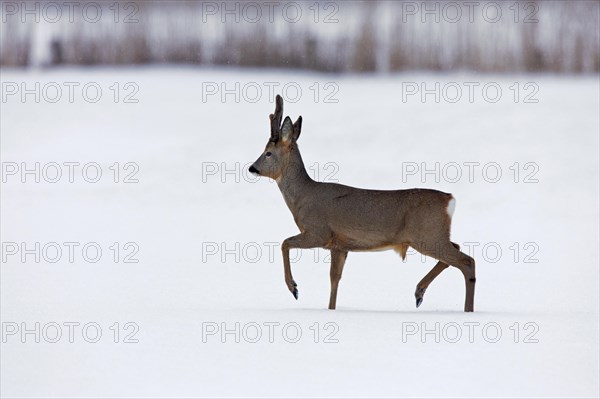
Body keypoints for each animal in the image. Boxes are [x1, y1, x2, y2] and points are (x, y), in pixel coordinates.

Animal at [248, 94, 478, 312]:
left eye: (268, 153)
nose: (252, 168)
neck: (302, 197)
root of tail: (449, 199)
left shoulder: (319, 232)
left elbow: (284, 243)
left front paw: (294, 288)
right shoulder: (340, 245)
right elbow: (334, 279)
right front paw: (330, 309)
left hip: (427, 236)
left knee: (467, 261)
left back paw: (463, 308)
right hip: (433, 235)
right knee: (457, 250)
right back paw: (419, 293)